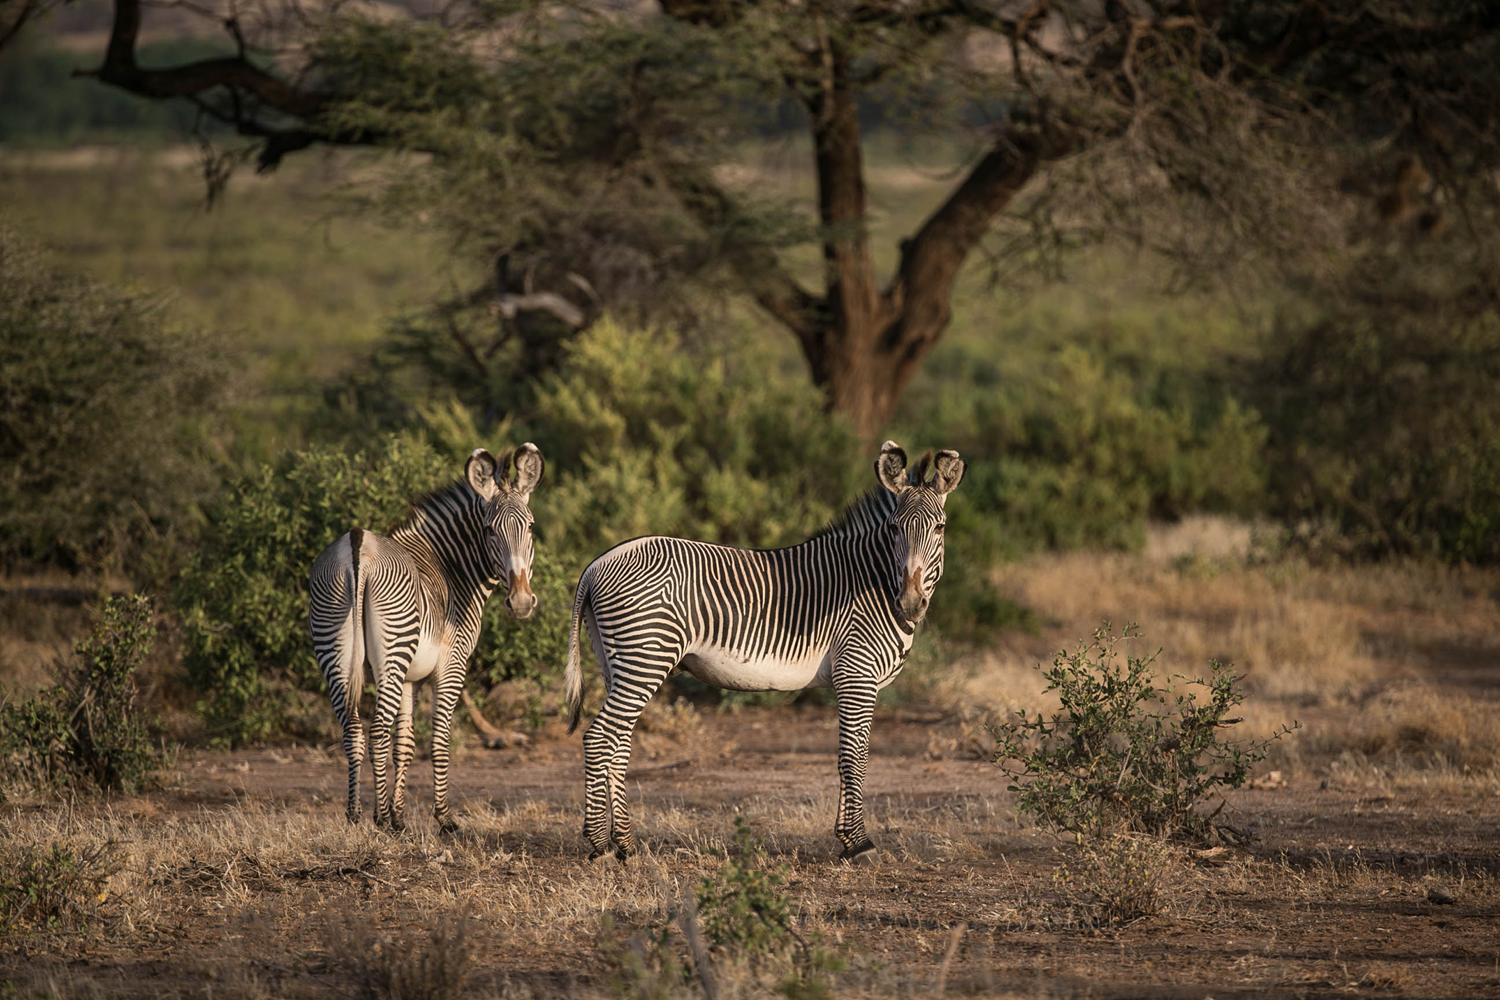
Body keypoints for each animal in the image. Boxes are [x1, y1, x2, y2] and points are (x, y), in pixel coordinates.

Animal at [308, 444, 544, 833]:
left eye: (530, 527)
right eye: (489, 529)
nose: (521, 602)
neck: (451, 567)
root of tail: (357, 543)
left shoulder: (411, 679)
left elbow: (405, 744)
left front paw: (400, 816)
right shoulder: (451, 665)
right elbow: (438, 740)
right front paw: (442, 818)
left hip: (334, 651)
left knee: (353, 730)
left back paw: (355, 815)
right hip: (391, 653)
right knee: (377, 731)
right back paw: (377, 818)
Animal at [563, 441, 964, 864]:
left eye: (940, 527)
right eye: (893, 528)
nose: (911, 603)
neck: (873, 579)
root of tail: (596, 564)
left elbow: (846, 756)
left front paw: (846, 840)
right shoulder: (857, 674)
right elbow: (854, 757)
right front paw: (859, 844)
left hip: (618, 662)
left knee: (618, 744)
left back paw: (625, 844)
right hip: (645, 656)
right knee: (599, 738)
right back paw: (601, 845)